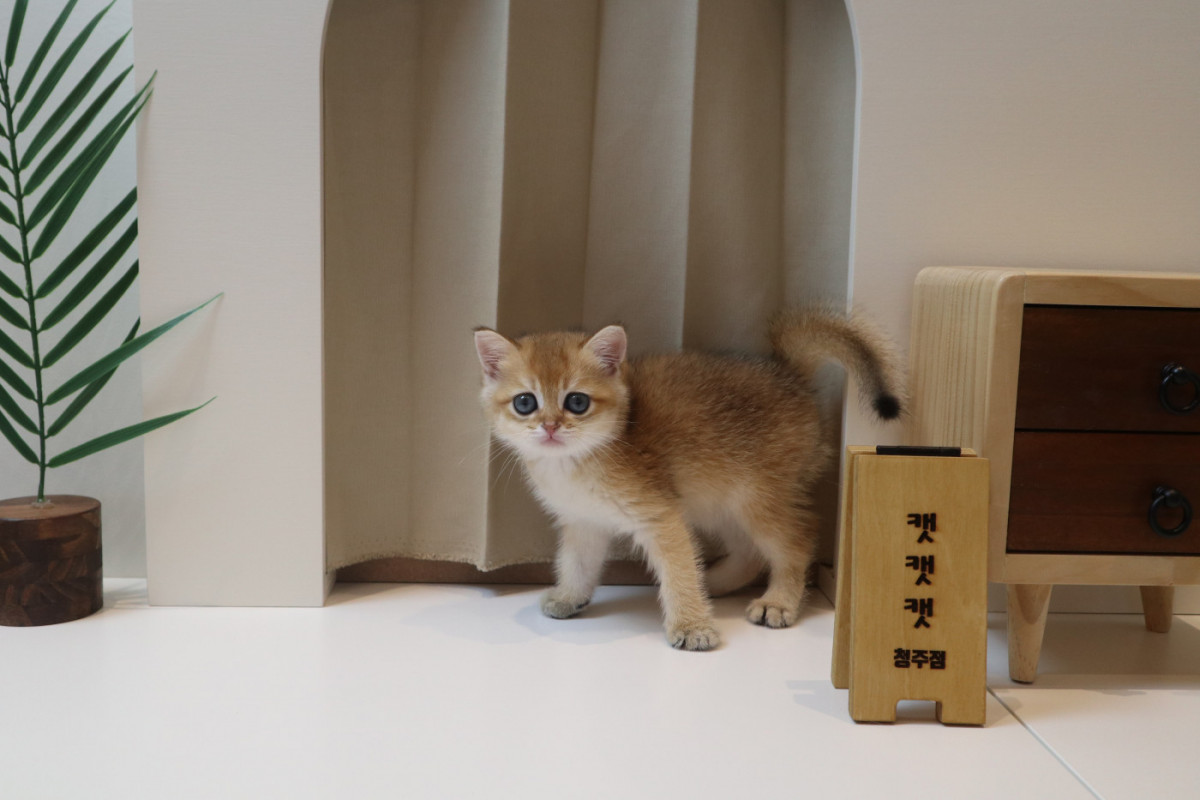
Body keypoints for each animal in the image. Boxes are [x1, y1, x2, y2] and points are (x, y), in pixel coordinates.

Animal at [473, 309, 904, 650]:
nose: (549, 427)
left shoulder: (661, 517)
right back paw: (713, 581)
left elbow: (678, 571)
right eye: (525, 402)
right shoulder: (585, 523)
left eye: (576, 402)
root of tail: (789, 374)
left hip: (756, 501)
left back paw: (779, 601)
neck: (575, 464)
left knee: (798, 540)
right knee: (748, 551)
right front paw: (569, 597)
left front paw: (693, 627)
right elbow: (577, 564)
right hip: (718, 501)